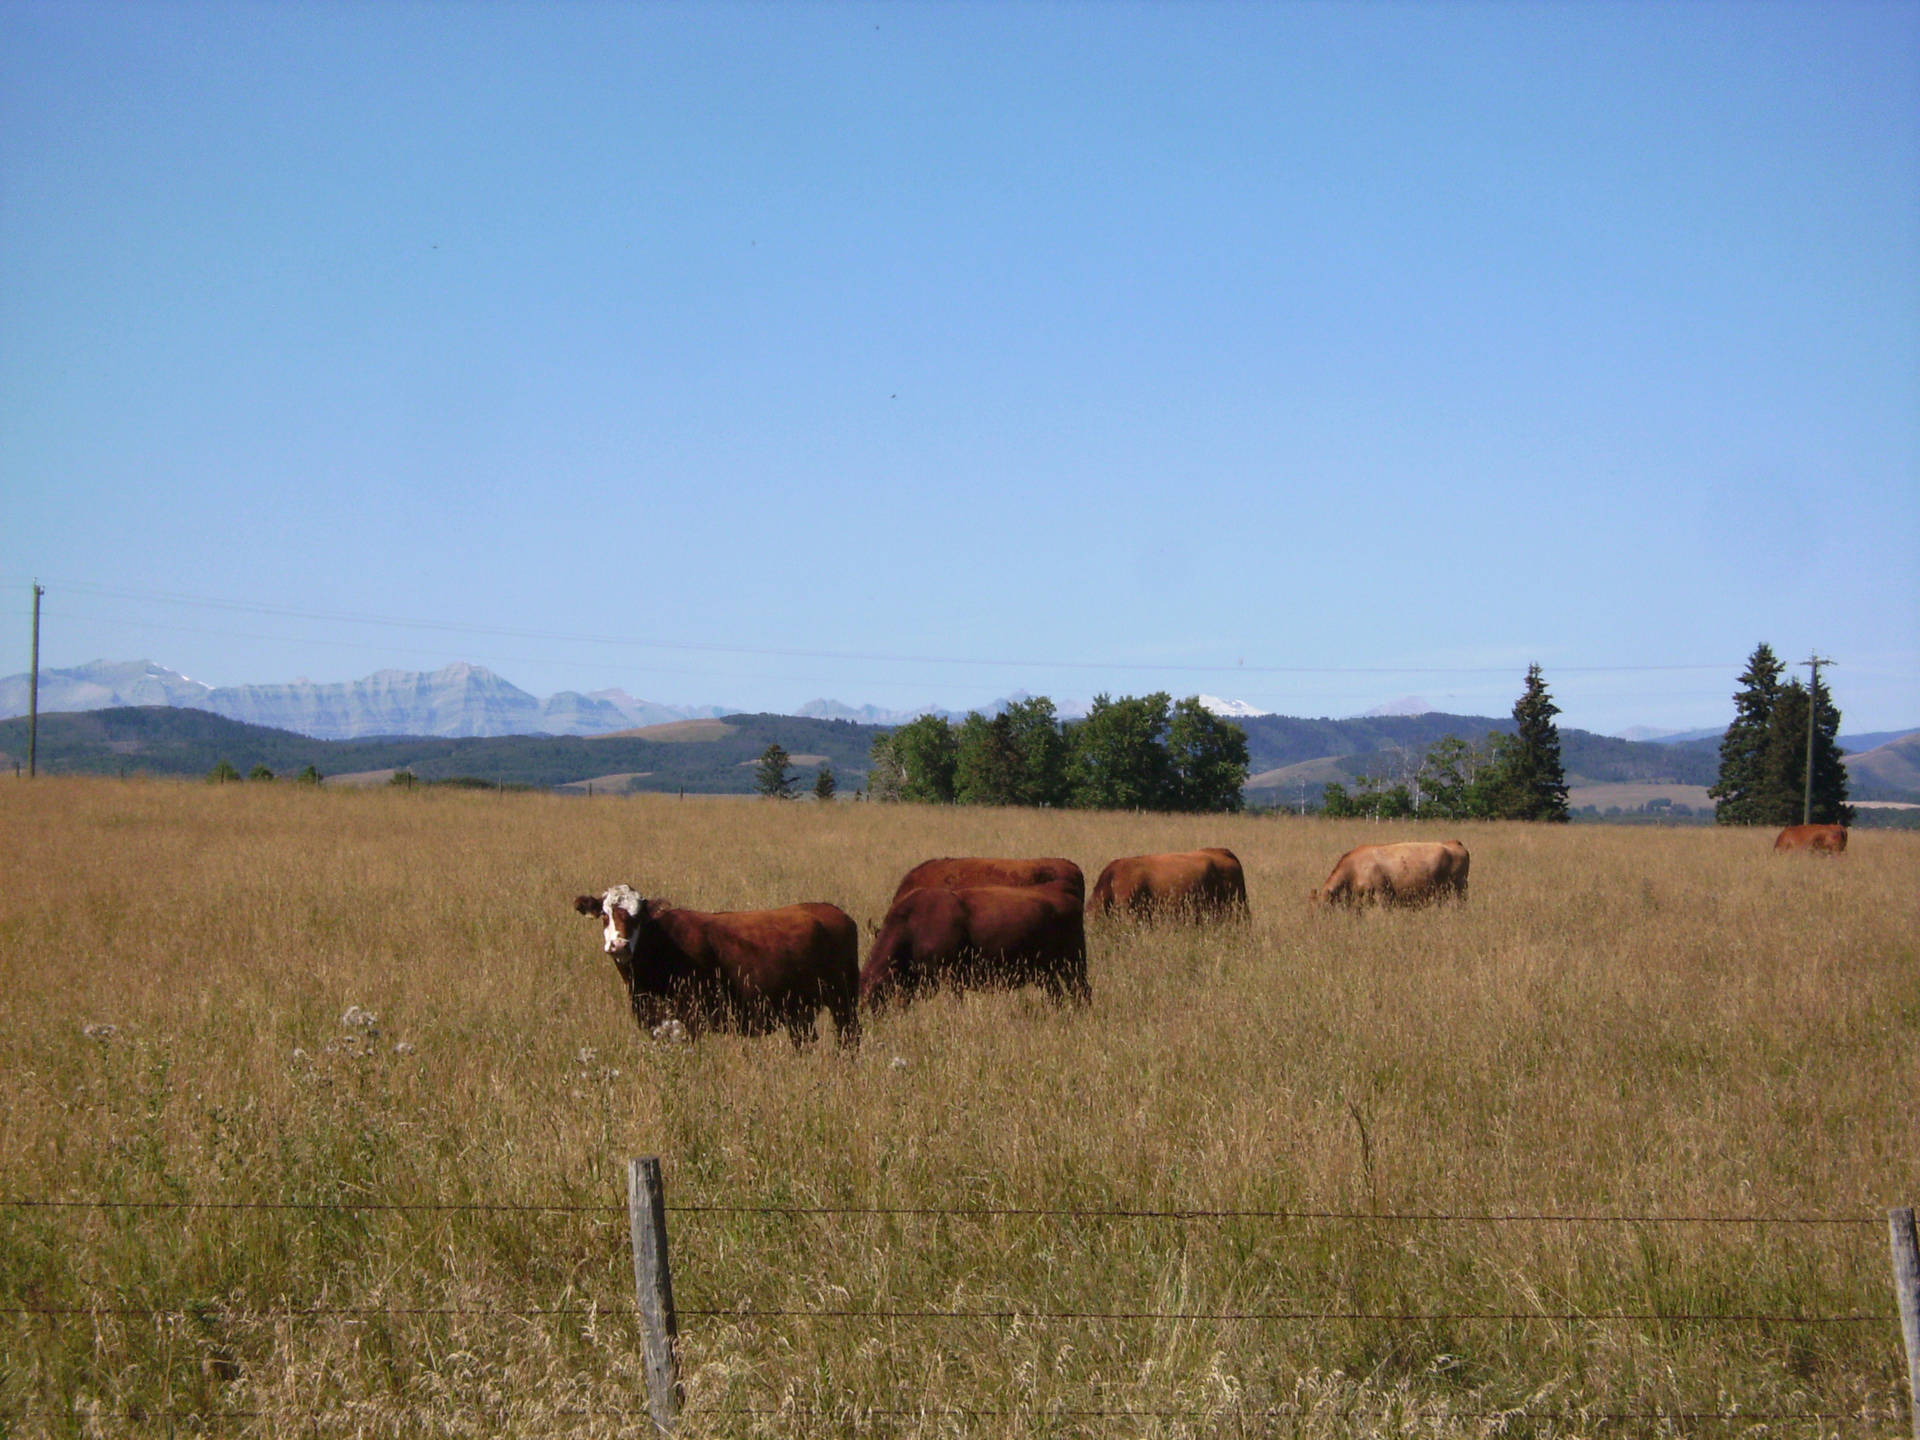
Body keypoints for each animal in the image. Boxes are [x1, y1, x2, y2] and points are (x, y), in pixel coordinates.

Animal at [568, 879, 864, 1052]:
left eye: (638, 916)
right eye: (604, 914)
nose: (619, 945)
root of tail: (835, 912)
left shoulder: (691, 1018)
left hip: (843, 1002)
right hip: (801, 1011)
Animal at [864, 879, 1090, 1013]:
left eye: (873, 991)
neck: (911, 924)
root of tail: (1067, 897)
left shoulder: (949, 975)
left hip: (1073, 966)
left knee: (1081, 991)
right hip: (1046, 973)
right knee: (1058, 994)